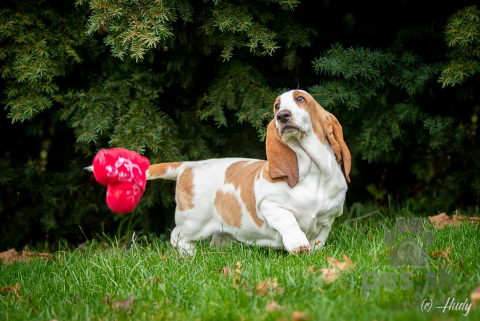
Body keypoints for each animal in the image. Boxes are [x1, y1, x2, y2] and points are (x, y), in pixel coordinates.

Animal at [148, 89, 350, 254]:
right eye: (277, 106)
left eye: (300, 99)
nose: (282, 116)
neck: (313, 171)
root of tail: (188, 166)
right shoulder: (271, 205)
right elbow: (289, 220)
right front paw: (298, 245)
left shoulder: (329, 218)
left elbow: (319, 239)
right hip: (193, 222)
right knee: (177, 236)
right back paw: (189, 255)